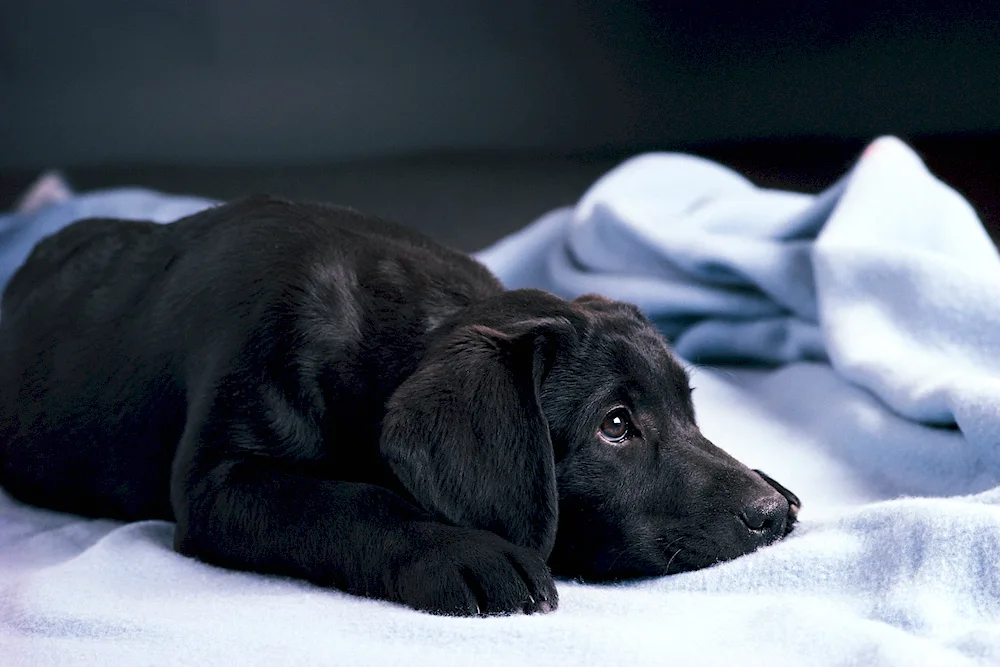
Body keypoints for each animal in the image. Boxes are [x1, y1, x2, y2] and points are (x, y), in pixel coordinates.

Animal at [0, 197, 800, 616]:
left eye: (690, 409)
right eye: (615, 426)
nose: (766, 514)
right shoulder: (220, 480)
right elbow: (349, 503)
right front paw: (463, 553)